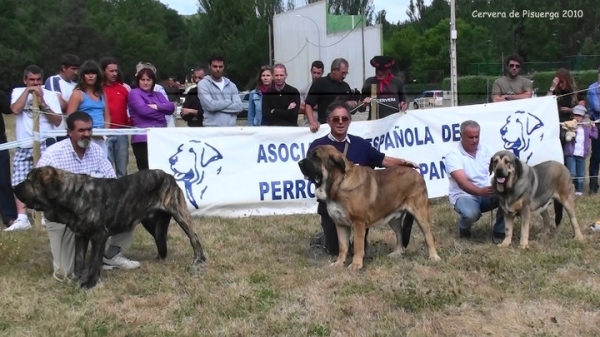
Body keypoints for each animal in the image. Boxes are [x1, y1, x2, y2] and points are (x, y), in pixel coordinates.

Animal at [14, 167, 206, 288]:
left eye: (29, 180)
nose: (14, 187)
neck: (74, 194)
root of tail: (168, 175)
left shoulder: (99, 236)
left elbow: (93, 262)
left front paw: (89, 283)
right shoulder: (80, 235)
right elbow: (78, 260)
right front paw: (77, 278)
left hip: (179, 213)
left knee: (194, 236)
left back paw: (199, 260)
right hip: (151, 223)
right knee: (161, 240)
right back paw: (160, 257)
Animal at [296, 144, 440, 268]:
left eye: (316, 157)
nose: (299, 163)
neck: (338, 183)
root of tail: (417, 173)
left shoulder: (358, 223)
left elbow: (358, 246)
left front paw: (356, 265)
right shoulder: (340, 224)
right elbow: (343, 246)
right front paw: (339, 263)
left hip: (420, 214)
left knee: (429, 236)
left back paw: (433, 257)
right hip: (393, 218)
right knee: (399, 234)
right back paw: (396, 253)